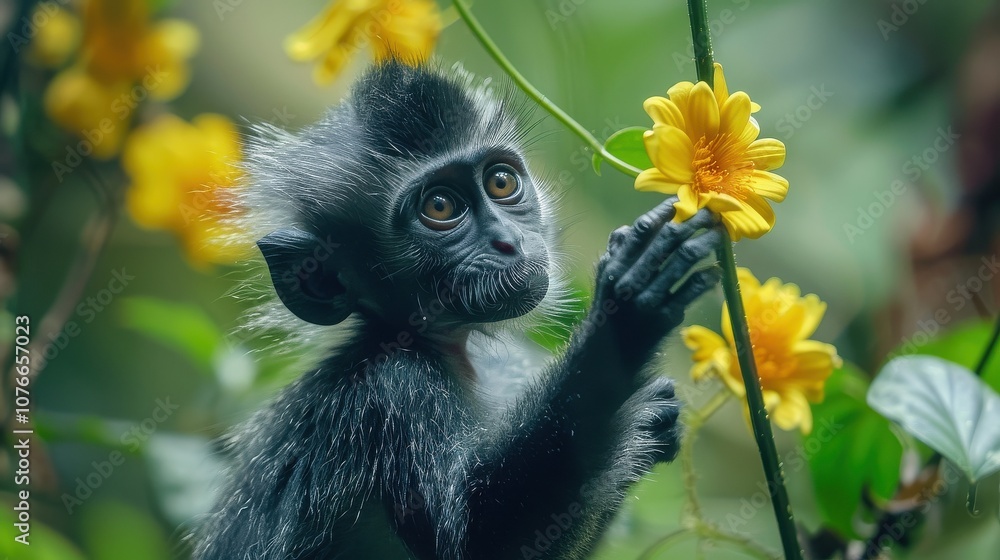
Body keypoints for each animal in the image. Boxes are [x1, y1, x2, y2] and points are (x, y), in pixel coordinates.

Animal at [193, 60, 723, 560]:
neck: (447, 351)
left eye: (501, 182)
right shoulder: (394, 391)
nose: (508, 241)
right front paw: (626, 312)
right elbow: (477, 542)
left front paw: (651, 424)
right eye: (441, 207)